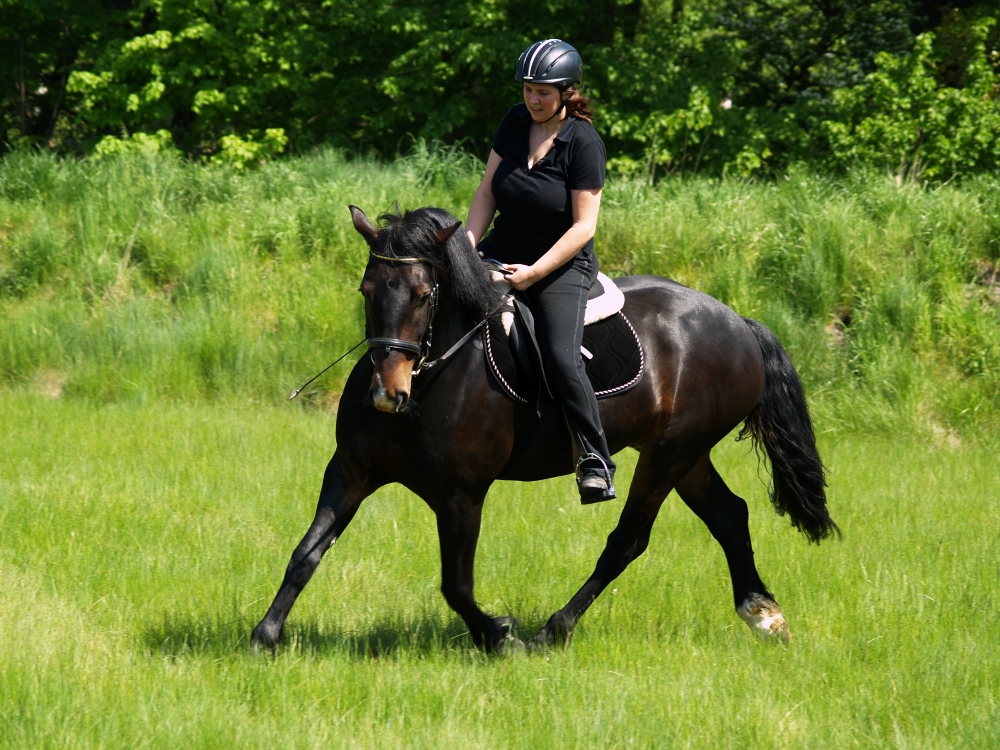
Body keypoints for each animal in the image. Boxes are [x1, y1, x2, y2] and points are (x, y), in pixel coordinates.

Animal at [250, 204, 836, 652]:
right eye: (367, 289)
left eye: (422, 295)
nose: (386, 395)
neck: (431, 379)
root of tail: (739, 322)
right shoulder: (350, 471)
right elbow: (305, 554)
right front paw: (266, 635)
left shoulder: (461, 494)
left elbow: (456, 584)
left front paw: (499, 635)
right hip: (685, 454)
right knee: (729, 516)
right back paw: (764, 615)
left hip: (670, 454)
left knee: (628, 540)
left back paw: (553, 630)